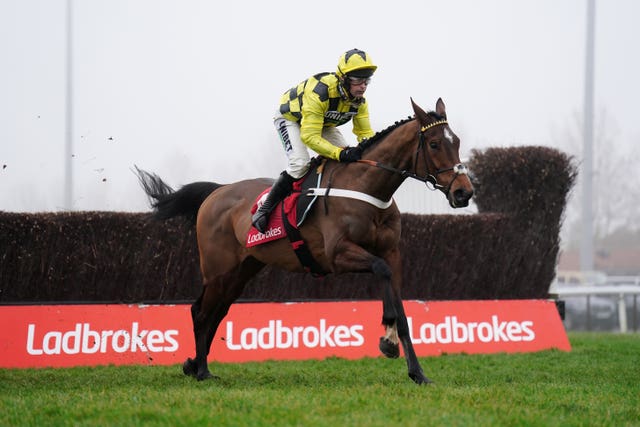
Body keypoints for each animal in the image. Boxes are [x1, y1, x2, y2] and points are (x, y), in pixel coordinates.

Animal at [136, 98, 476, 386]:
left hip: (243, 269)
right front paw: (388, 338)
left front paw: (414, 368)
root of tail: (216, 192)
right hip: (218, 269)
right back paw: (201, 370)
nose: (464, 192)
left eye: (457, 142)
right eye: (434, 144)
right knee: (200, 311)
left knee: (217, 312)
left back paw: (197, 365)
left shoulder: (392, 252)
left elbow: (400, 303)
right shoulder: (337, 254)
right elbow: (380, 270)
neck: (367, 187)